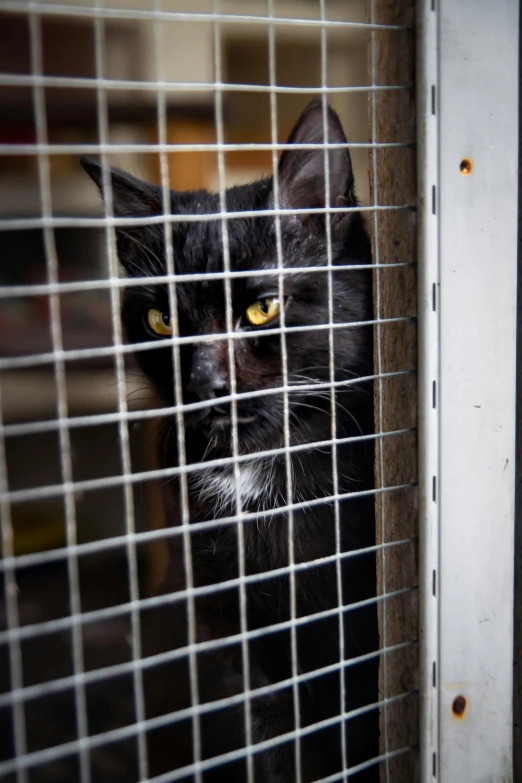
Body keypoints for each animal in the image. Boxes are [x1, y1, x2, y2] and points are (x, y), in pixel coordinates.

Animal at [83, 102, 380, 783]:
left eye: (262, 310)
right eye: (161, 321)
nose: (203, 384)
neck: (258, 466)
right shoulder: (216, 611)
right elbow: (259, 725)